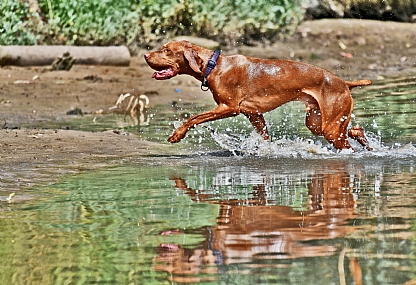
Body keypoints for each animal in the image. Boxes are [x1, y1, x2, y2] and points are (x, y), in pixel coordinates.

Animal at [145, 40, 372, 151]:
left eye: (166, 50)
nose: (145, 55)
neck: (214, 66)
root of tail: (344, 83)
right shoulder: (254, 114)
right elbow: (264, 137)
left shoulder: (229, 107)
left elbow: (193, 117)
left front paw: (177, 134)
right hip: (318, 123)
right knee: (353, 130)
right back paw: (361, 137)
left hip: (329, 127)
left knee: (348, 146)